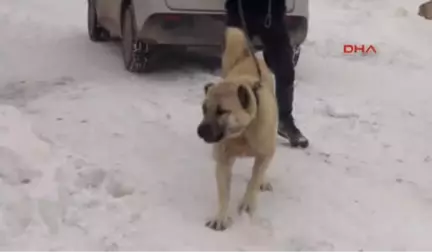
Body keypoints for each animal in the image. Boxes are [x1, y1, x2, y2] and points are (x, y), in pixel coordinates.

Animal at [197, 27, 278, 230]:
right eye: (204, 109)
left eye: (221, 111)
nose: (200, 130)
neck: (242, 134)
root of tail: (248, 56)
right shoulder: (224, 161)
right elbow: (224, 193)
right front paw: (220, 218)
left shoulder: (264, 154)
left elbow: (254, 179)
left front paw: (248, 203)